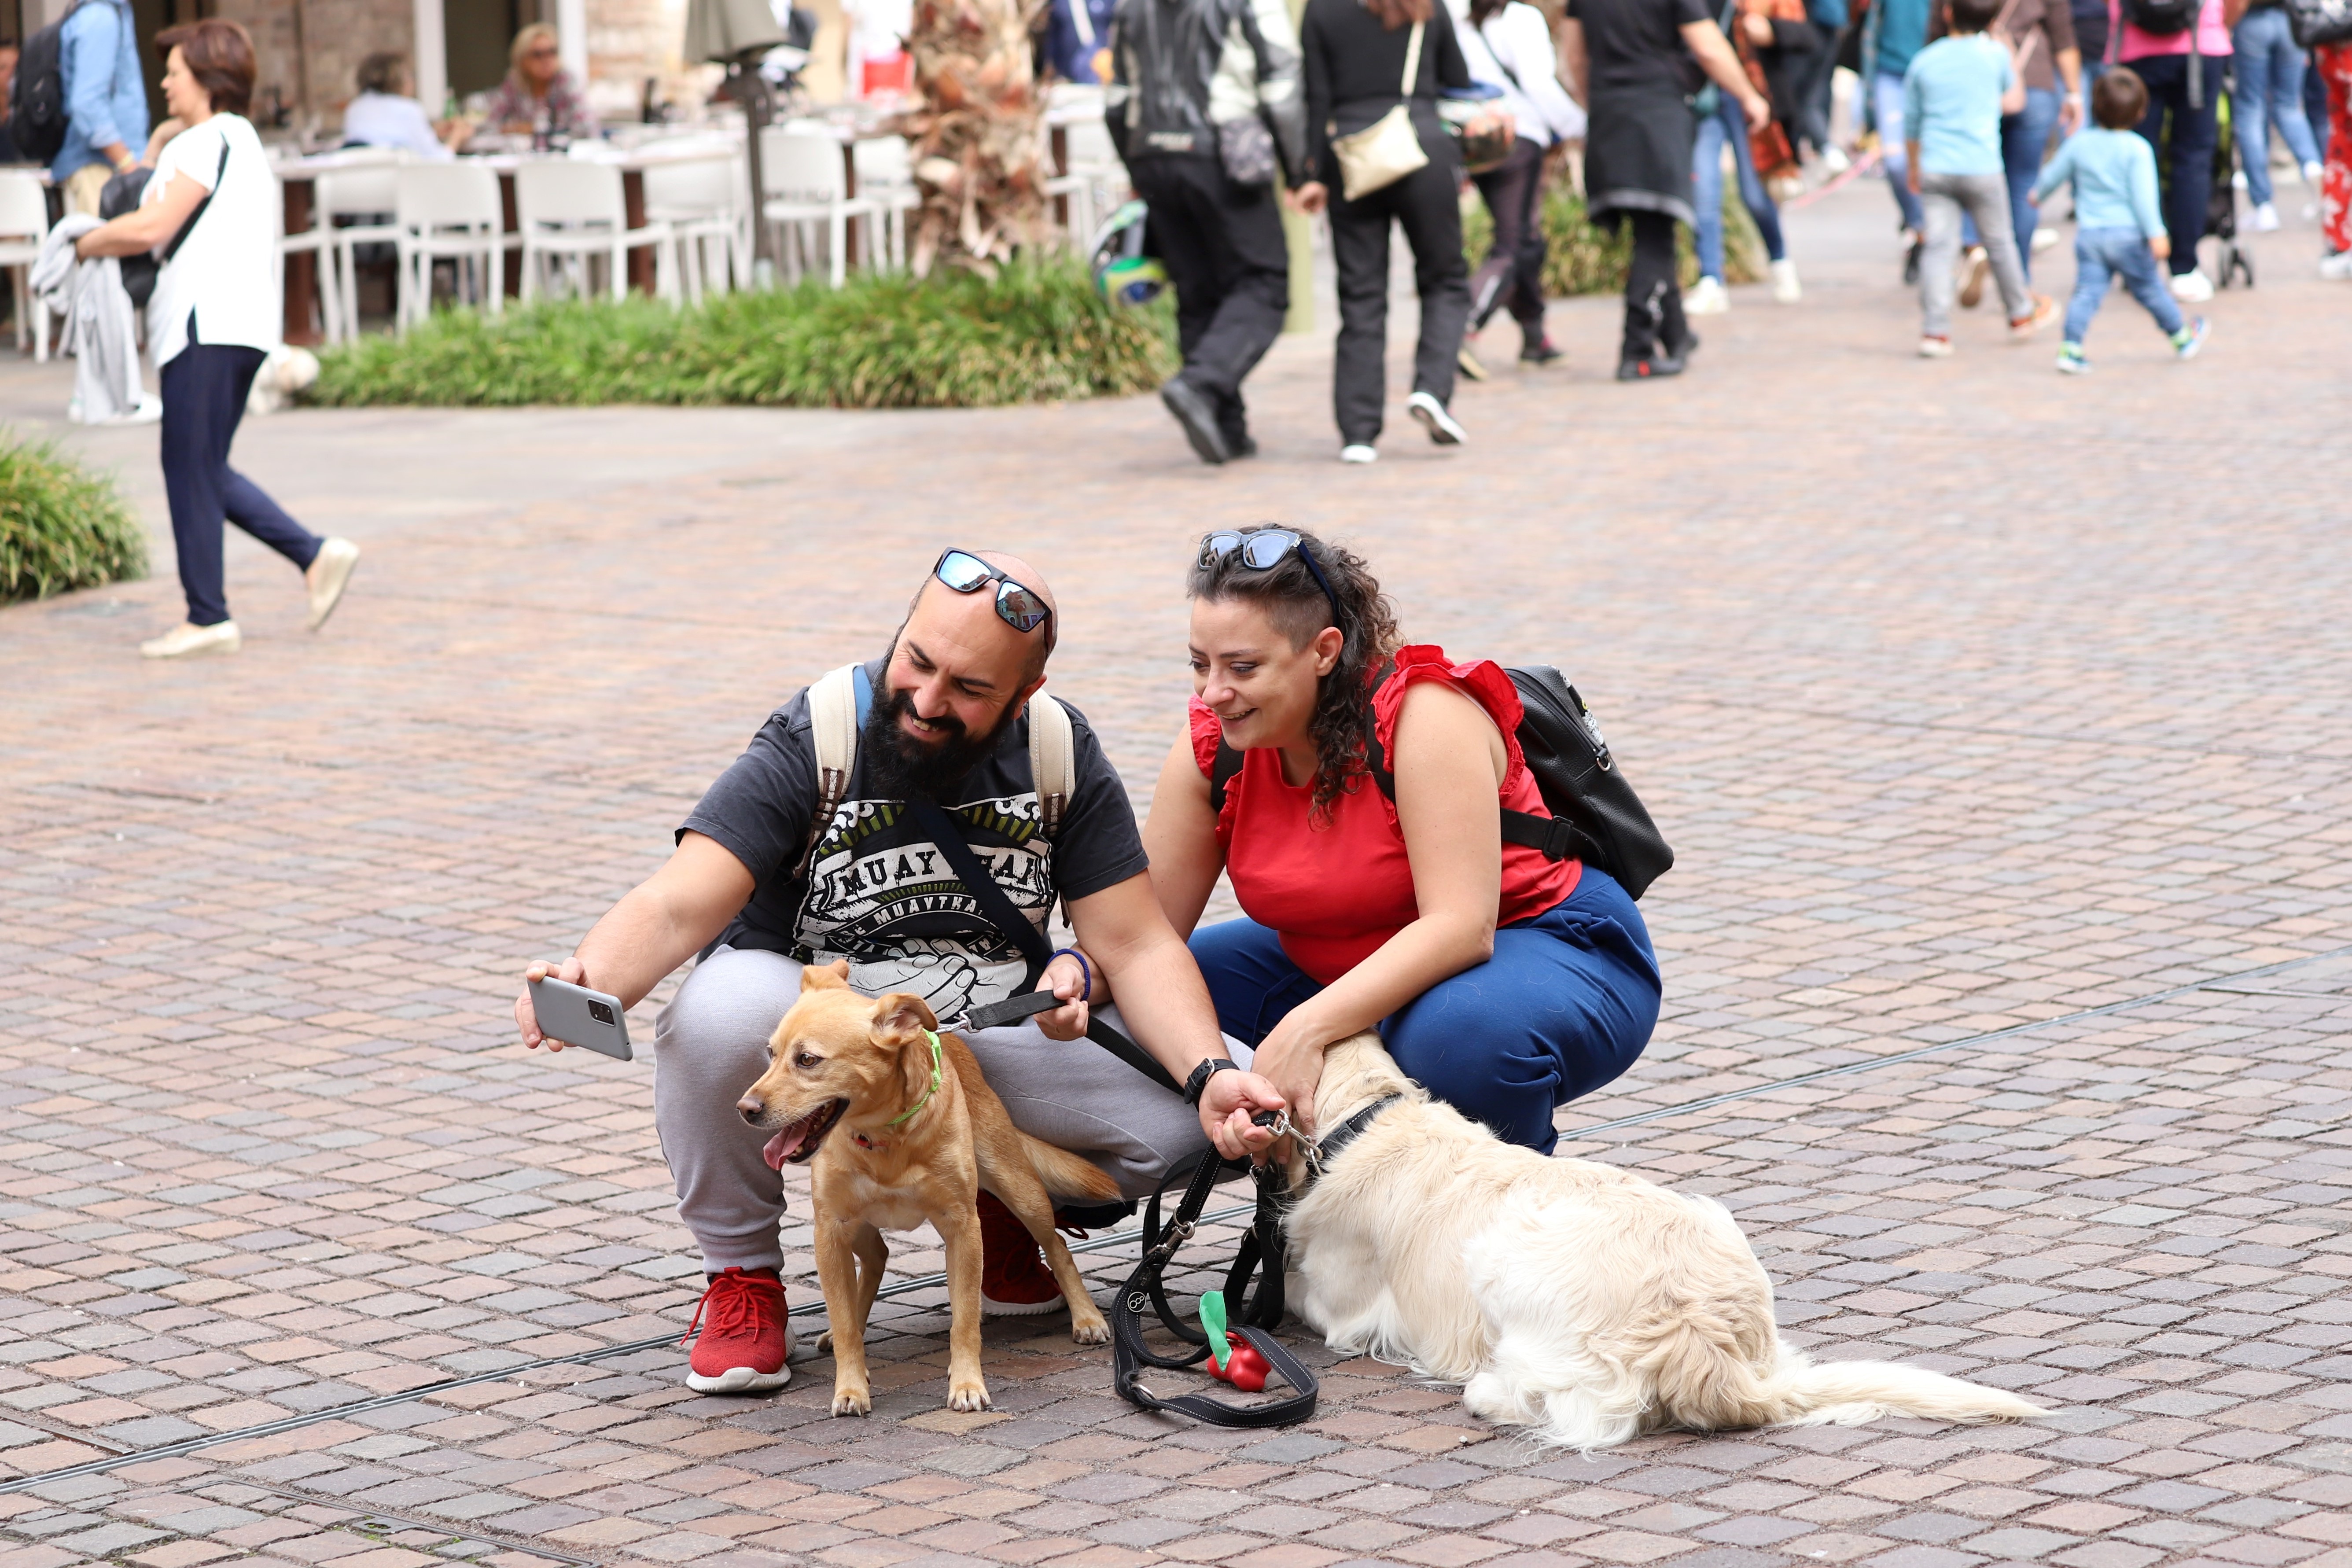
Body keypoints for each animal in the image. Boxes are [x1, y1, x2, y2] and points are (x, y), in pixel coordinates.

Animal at [748, 964, 1124, 1420]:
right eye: (771, 1054)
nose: (745, 1109)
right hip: (854, 1224)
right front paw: (851, 1386)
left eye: (807, 1060)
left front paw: (967, 1384)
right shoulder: (830, 1231)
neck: (883, 1137)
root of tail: (953, 1034)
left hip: (1020, 1189)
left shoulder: (963, 1228)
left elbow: (964, 1321)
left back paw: (1085, 1318)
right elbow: (843, 1321)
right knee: (876, 1260)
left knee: (1057, 1247)